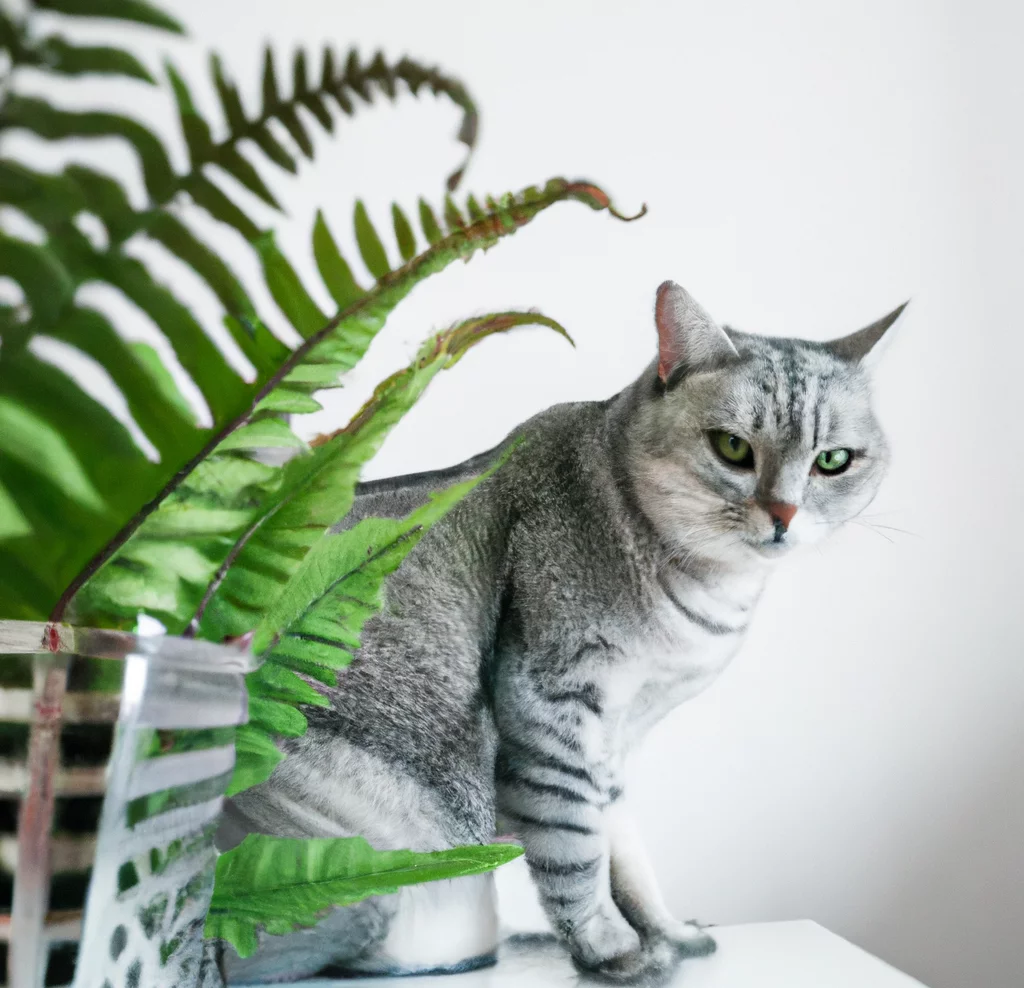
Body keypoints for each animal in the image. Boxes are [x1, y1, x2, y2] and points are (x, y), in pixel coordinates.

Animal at [218, 280, 905, 982]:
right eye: (734, 448)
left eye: (833, 461)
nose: (784, 513)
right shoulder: (552, 710)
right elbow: (575, 847)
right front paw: (610, 947)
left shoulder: (615, 744)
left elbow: (627, 855)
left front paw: (668, 934)